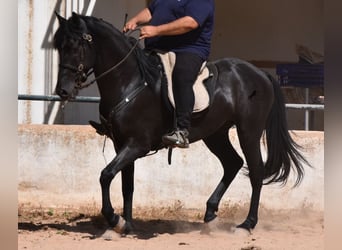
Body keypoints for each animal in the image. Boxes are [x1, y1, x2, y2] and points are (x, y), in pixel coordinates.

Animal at [54, 12, 310, 233]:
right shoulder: (122, 145)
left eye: (75, 46)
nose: (63, 91)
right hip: (215, 134)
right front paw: (127, 224)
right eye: (59, 47)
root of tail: (260, 73)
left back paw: (247, 224)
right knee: (232, 163)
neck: (131, 83)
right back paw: (210, 213)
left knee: (256, 171)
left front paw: (114, 219)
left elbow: (106, 175)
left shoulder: (137, 145)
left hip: (249, 131)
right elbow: (127, 185)